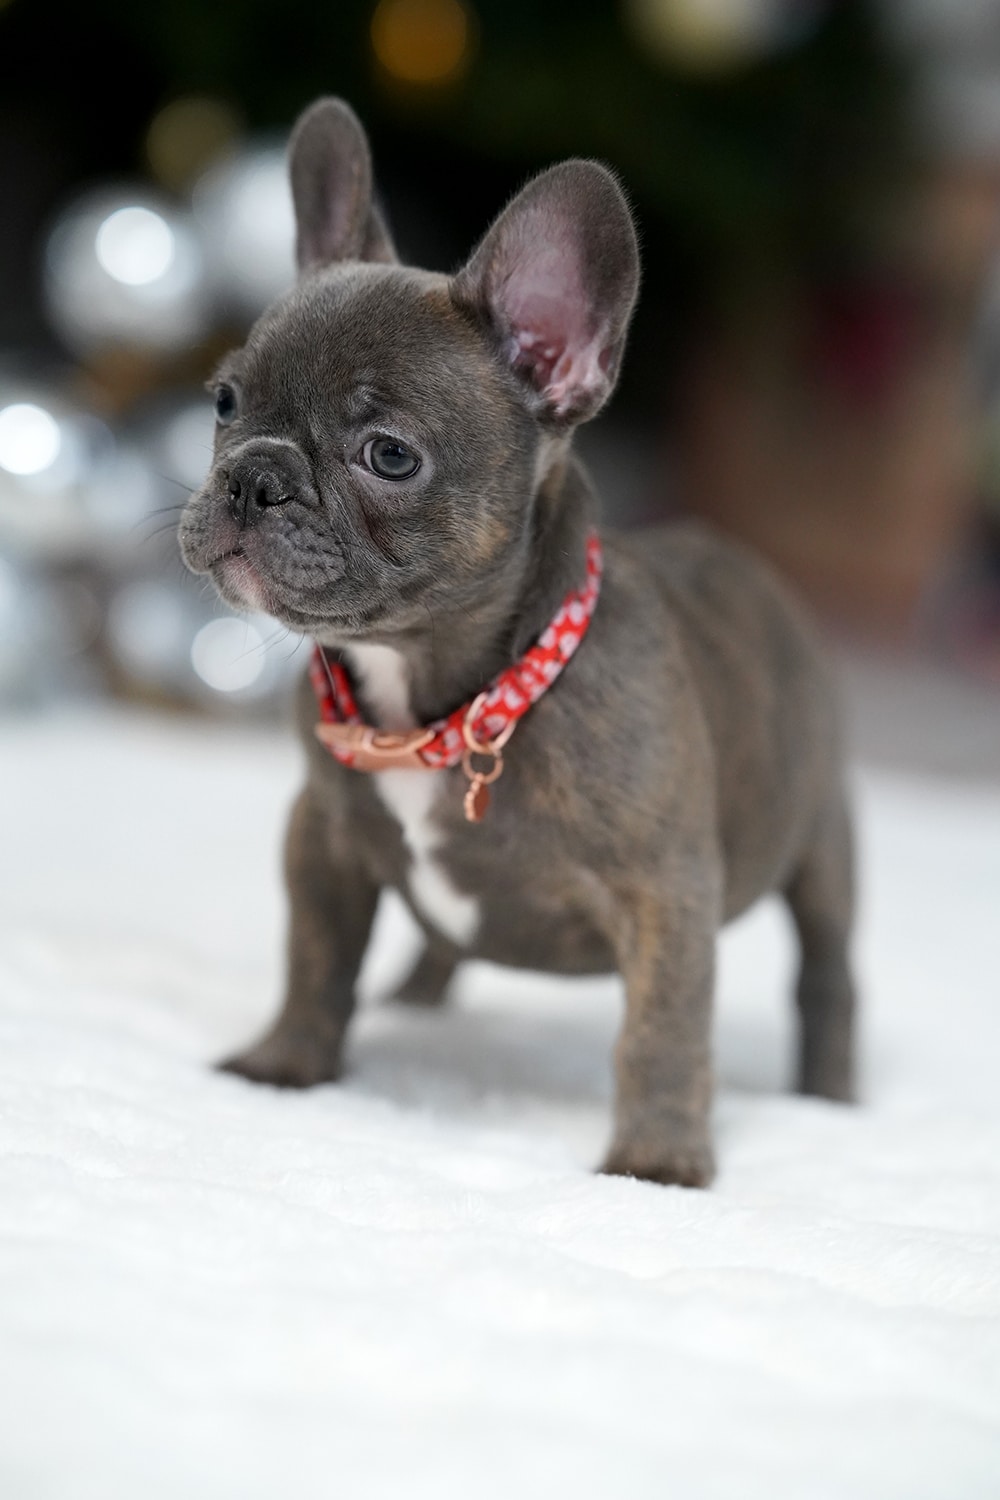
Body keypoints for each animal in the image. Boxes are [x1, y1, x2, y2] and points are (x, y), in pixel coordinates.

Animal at [179, 96, 856, 1187]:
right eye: (225, 403)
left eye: (389, 456)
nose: (253, 476)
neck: (437, 702)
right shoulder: (319, 841)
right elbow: (315, 963)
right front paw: (284, 1066)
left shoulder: (665, 894)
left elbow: (661, 1034)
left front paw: (656, 1166)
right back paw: (416, 1000)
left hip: (825, 845)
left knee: (828, 978)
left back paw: (833, 1098)